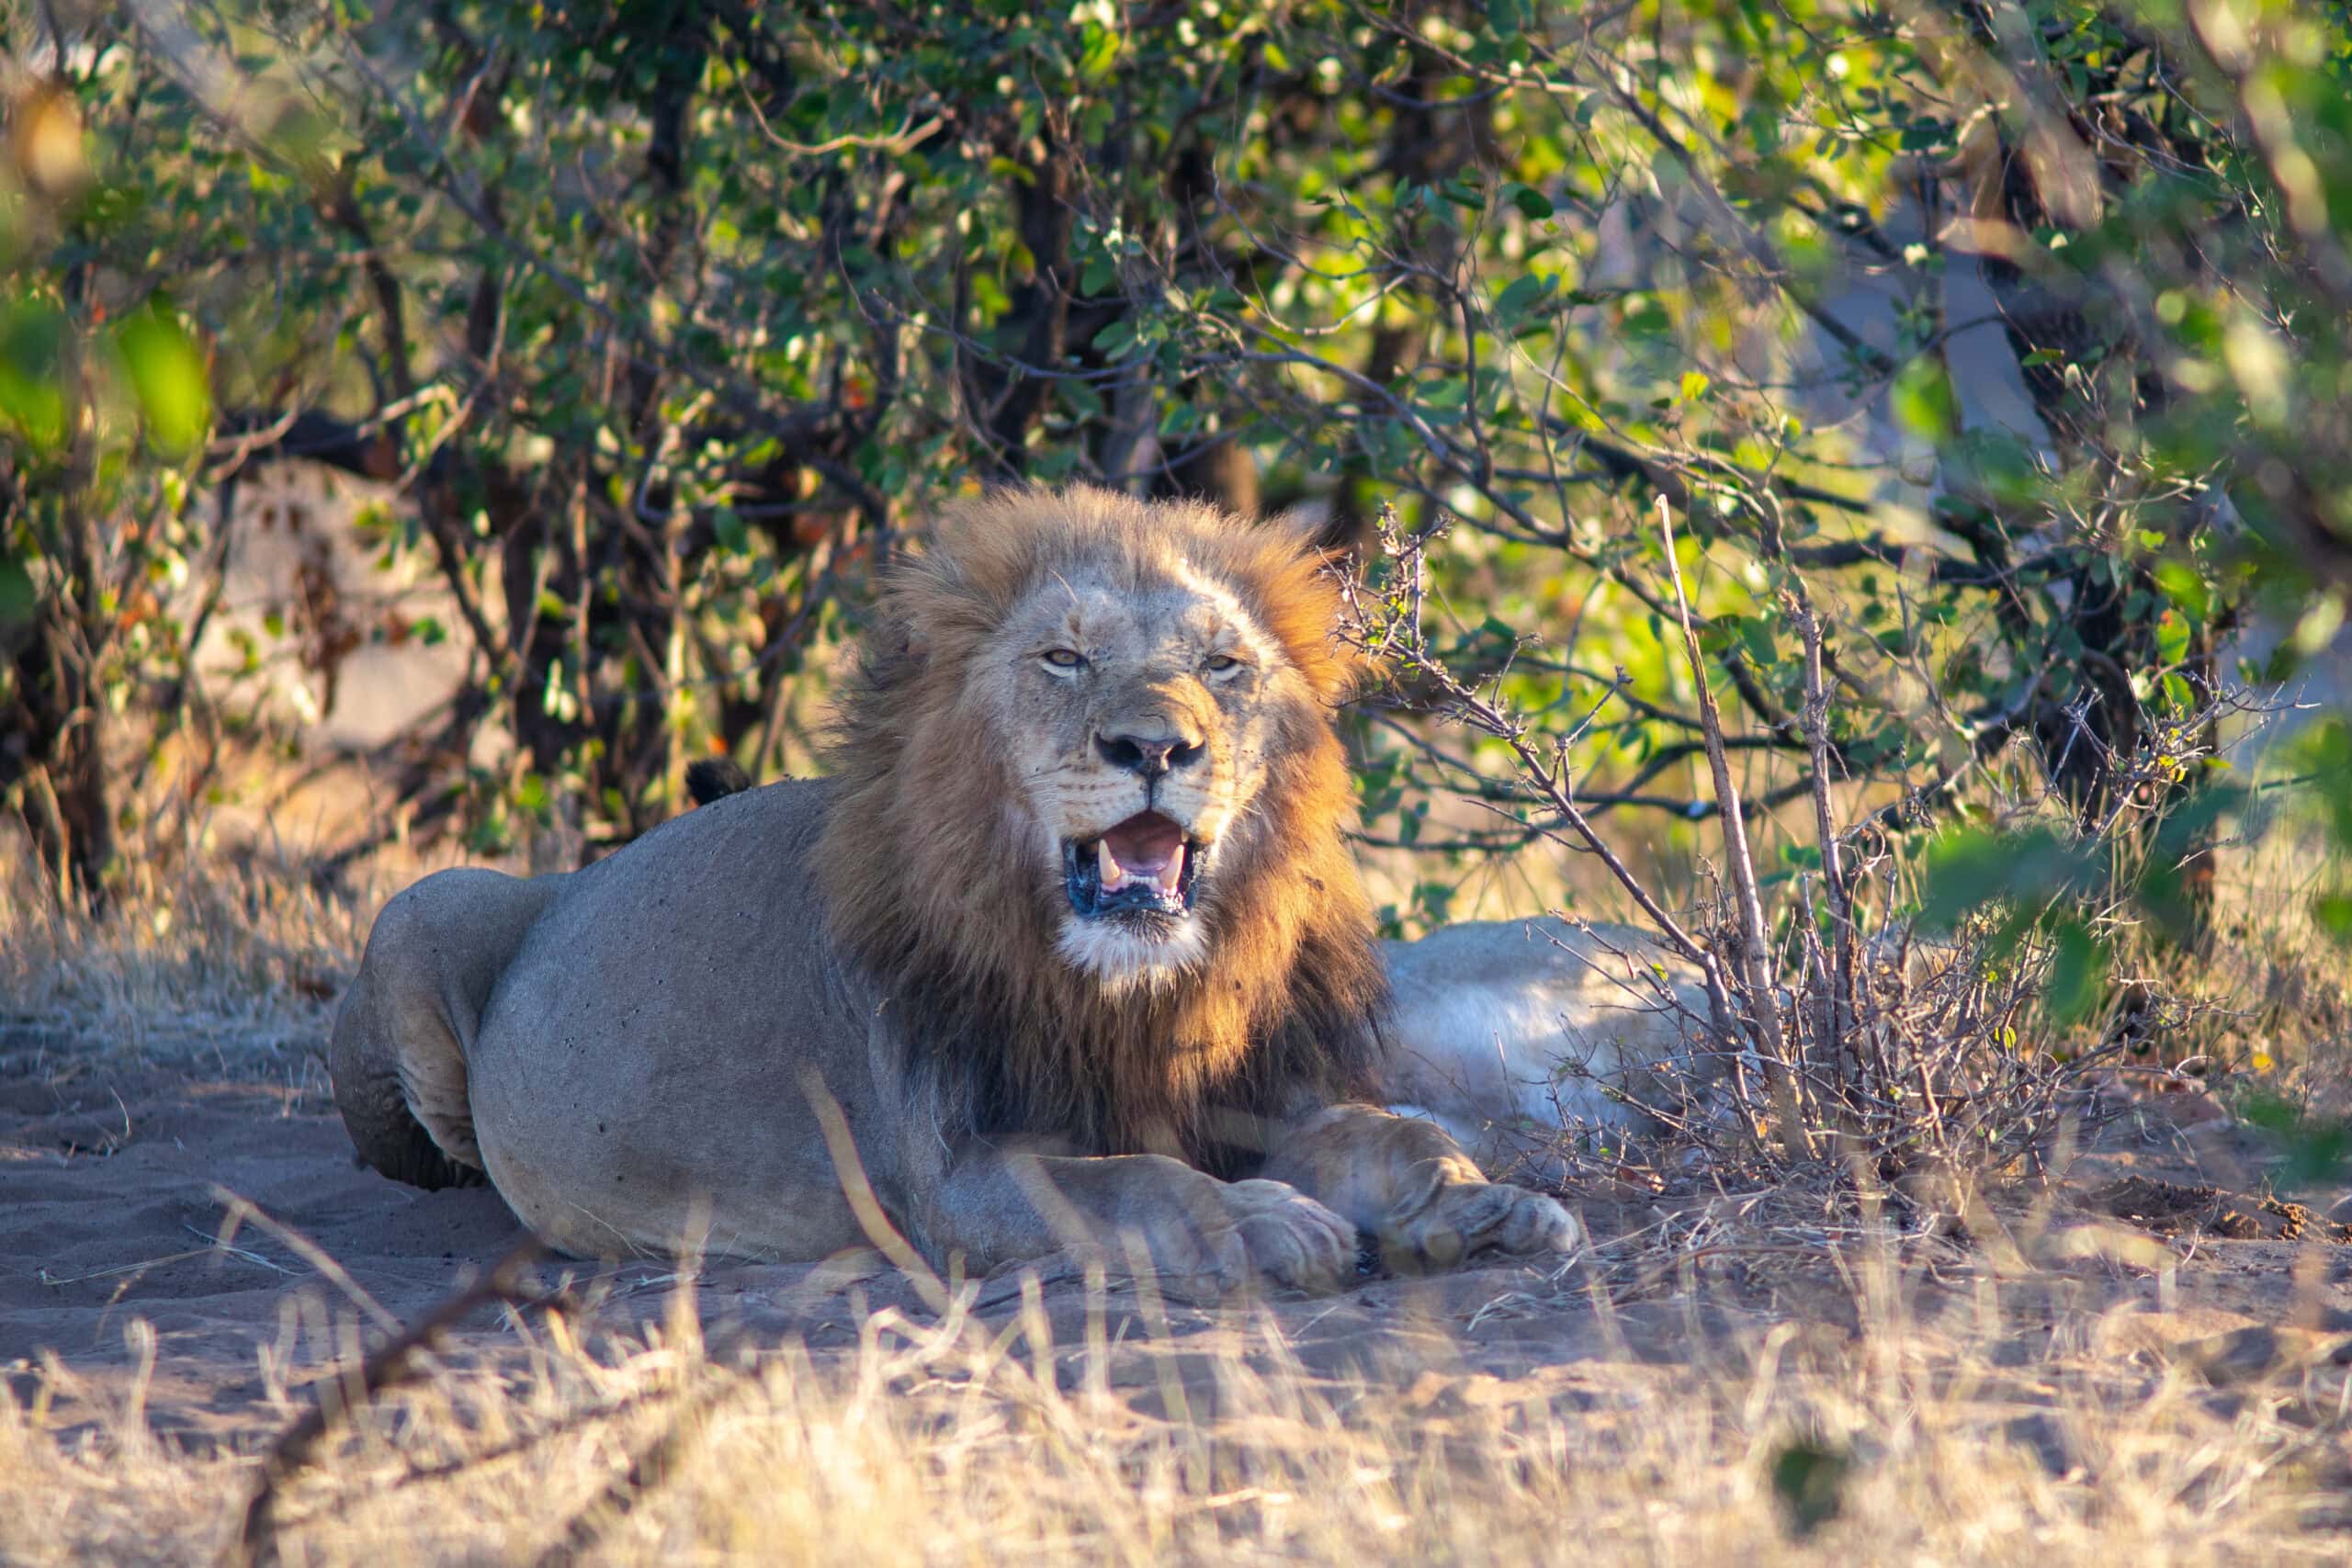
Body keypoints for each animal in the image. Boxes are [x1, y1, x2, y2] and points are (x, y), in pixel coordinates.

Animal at [330, 487, 1575, 1292]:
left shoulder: (1264, 1091)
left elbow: (1396, 1134)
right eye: (1064, 659)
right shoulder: (954, 1179)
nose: (1157, 748)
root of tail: (572, 879)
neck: (1138, 993)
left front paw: (1480, 1206)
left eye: (1223, 666)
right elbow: (1137, 1185)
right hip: (415, 910)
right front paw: (1264, 1222)